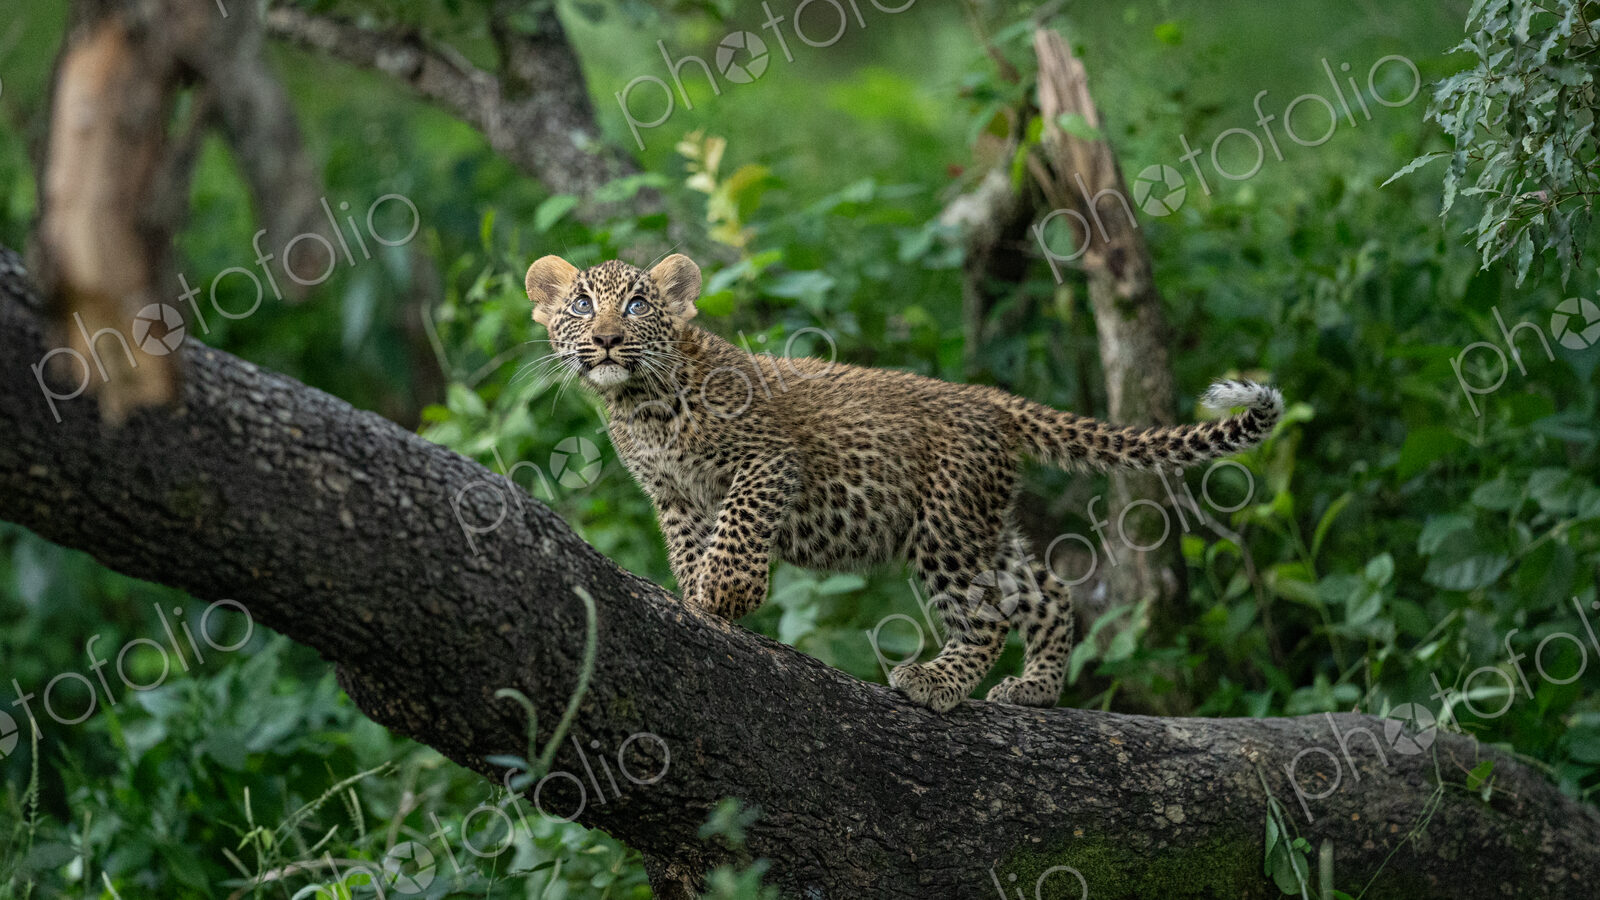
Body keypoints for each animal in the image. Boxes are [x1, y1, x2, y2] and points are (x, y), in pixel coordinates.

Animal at [525, 253, 1283, 712]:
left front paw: (725, 592)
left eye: (639, 305)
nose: (607, 340)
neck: (642, 404)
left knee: (987, 617)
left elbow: (738, 526)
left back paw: (933, 682)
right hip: (981, 523)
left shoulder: (768, 461)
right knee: (1046, 594)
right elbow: (691, 545)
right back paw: (1034, 689)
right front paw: (696, 597)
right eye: (582, 304)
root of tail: (990, 400)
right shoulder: (675, 496)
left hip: (943, 527)